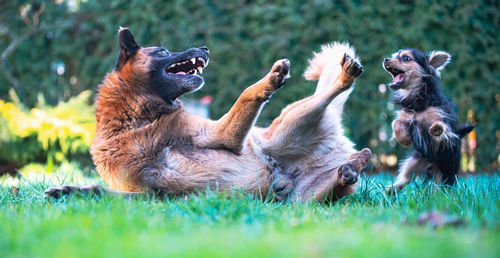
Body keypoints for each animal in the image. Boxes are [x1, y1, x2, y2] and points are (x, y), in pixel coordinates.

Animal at [44, 27, 372, 202]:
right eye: (163, 51)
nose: (203, 47)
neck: (140, 123)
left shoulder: (222, 135)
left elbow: (246, 94)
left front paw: (270, 79)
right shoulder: (152, 196)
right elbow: (99, 191)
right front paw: (69, 191)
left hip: (287, 128)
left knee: (327, 95)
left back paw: (344, 81)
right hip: (303, 199)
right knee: (339, 184)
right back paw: (350, 167)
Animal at [382, 48, 472, 194]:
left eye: (406, 58)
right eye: (394, 56)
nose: (386, 59)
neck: (417, 96)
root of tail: (431, 168)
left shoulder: (444, 122)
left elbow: (443, 128)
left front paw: (437, 129)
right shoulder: (407, 117)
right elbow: (395, 123)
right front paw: (404, 138)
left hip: (445, 176)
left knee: (441, 190)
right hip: (415, 160)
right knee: (406, 178)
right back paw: (390, 190)